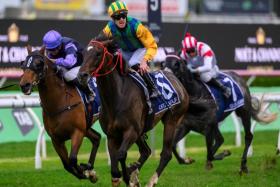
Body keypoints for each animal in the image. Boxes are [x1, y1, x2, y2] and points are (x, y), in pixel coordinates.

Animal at [19, 45, 100, 183]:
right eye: (24, 64)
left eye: (39, 63)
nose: (25, 85)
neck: (60, 101)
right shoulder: (56, 139)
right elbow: (67, 164)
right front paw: (88, 172)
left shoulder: (77, 132)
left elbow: (72, 159)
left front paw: (84, 171)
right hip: (87, 126)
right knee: (97, 138)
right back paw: (90, 167)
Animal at [77, 38, 189, 187]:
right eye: (83, 54)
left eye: (98, 53)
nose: (81, 75)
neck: (117, 97)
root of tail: (177, 80)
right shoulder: (112, 135)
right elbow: (114, 168)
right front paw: (126, 175)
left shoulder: (131, 131)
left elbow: (121, 154)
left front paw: (128, 177)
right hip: (142, 131)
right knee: (146, 151)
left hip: (171, 120)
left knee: (166, 153)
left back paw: (151, 180)